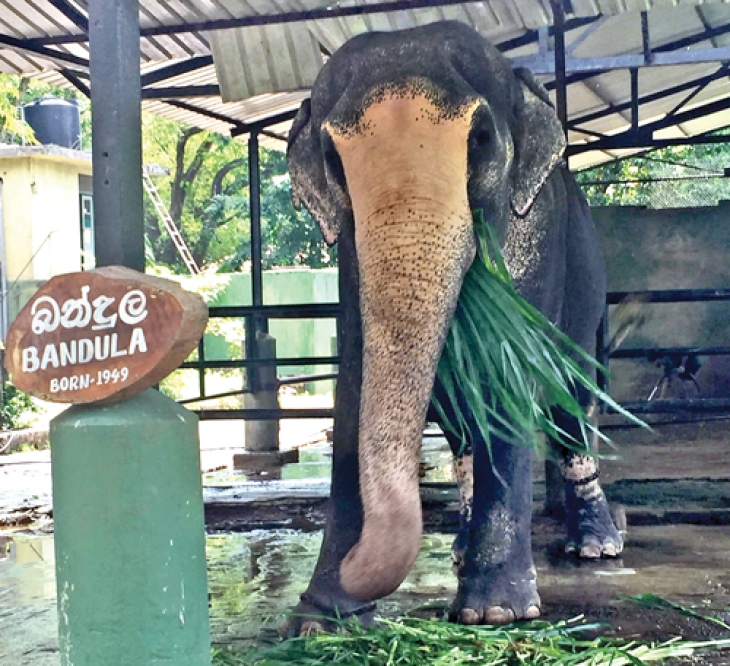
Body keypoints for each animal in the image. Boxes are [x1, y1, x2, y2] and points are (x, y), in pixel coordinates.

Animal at [282, 20, 620, 632]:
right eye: (332, 159)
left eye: (481, 139)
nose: (358, 567)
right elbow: (354, 380)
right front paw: (321, 621)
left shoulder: (534, 232)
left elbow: (507, 375)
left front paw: (495, 612)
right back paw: (462, 548)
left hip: (588, 283)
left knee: (572, 401)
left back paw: (594, 546)